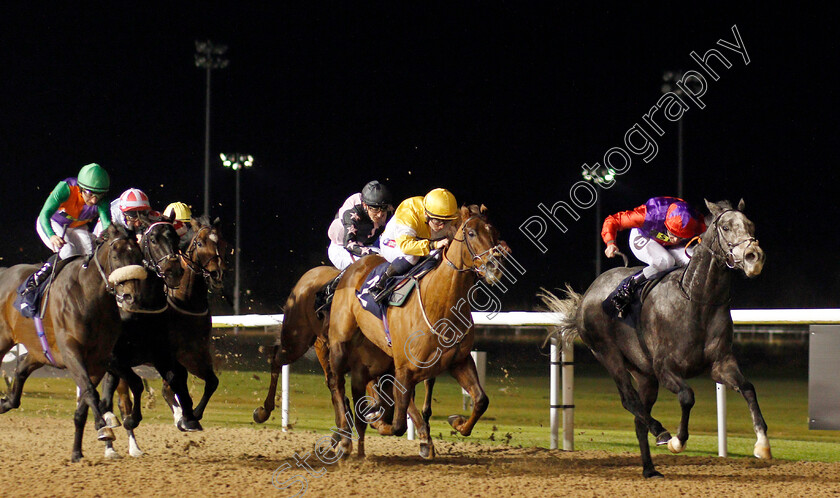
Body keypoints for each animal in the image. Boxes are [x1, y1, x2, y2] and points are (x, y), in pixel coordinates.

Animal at [0, 224, 146, 462]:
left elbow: (86, 403)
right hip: (4, 339)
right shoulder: (72, 352)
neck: (88, 296)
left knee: (21, 367)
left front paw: (77, 452)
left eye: (139, 256)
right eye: (115, 256)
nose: (130, 297)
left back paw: (6, 402)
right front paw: (103, 427)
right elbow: (89, 392)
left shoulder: (99, 360)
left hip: (39, 349)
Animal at [254, 264, 440, 460]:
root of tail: (310, 273)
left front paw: (424, 438)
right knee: (278, 358)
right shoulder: (370, 367)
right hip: (298, 341)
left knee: (331, 383)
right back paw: (264, 411)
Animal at [324, 204, 502, 458]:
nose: (494, 267)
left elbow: (480, 400)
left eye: (495, 232)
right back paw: (344, 439)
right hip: (340, 342)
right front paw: (379, 421)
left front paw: (457, 422)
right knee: (337, 383)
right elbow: (397, 424)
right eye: (471, 233)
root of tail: (353, 267)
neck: (440, 302)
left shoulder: (458, 361)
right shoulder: (405, 368)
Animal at [540, 199, 772, 478]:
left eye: (751, 225)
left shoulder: (721, 364)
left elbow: (748, 388)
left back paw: (650, 469)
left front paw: (762, 444)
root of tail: (587, 296)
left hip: (644, 373)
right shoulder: (665, 368)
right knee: (629, 400)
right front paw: (676, 440)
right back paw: (660, 432)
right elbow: (687, 397)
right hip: (608, 354)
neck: (698, 301)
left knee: (639, 416)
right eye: (726, 227)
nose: (754, 257)